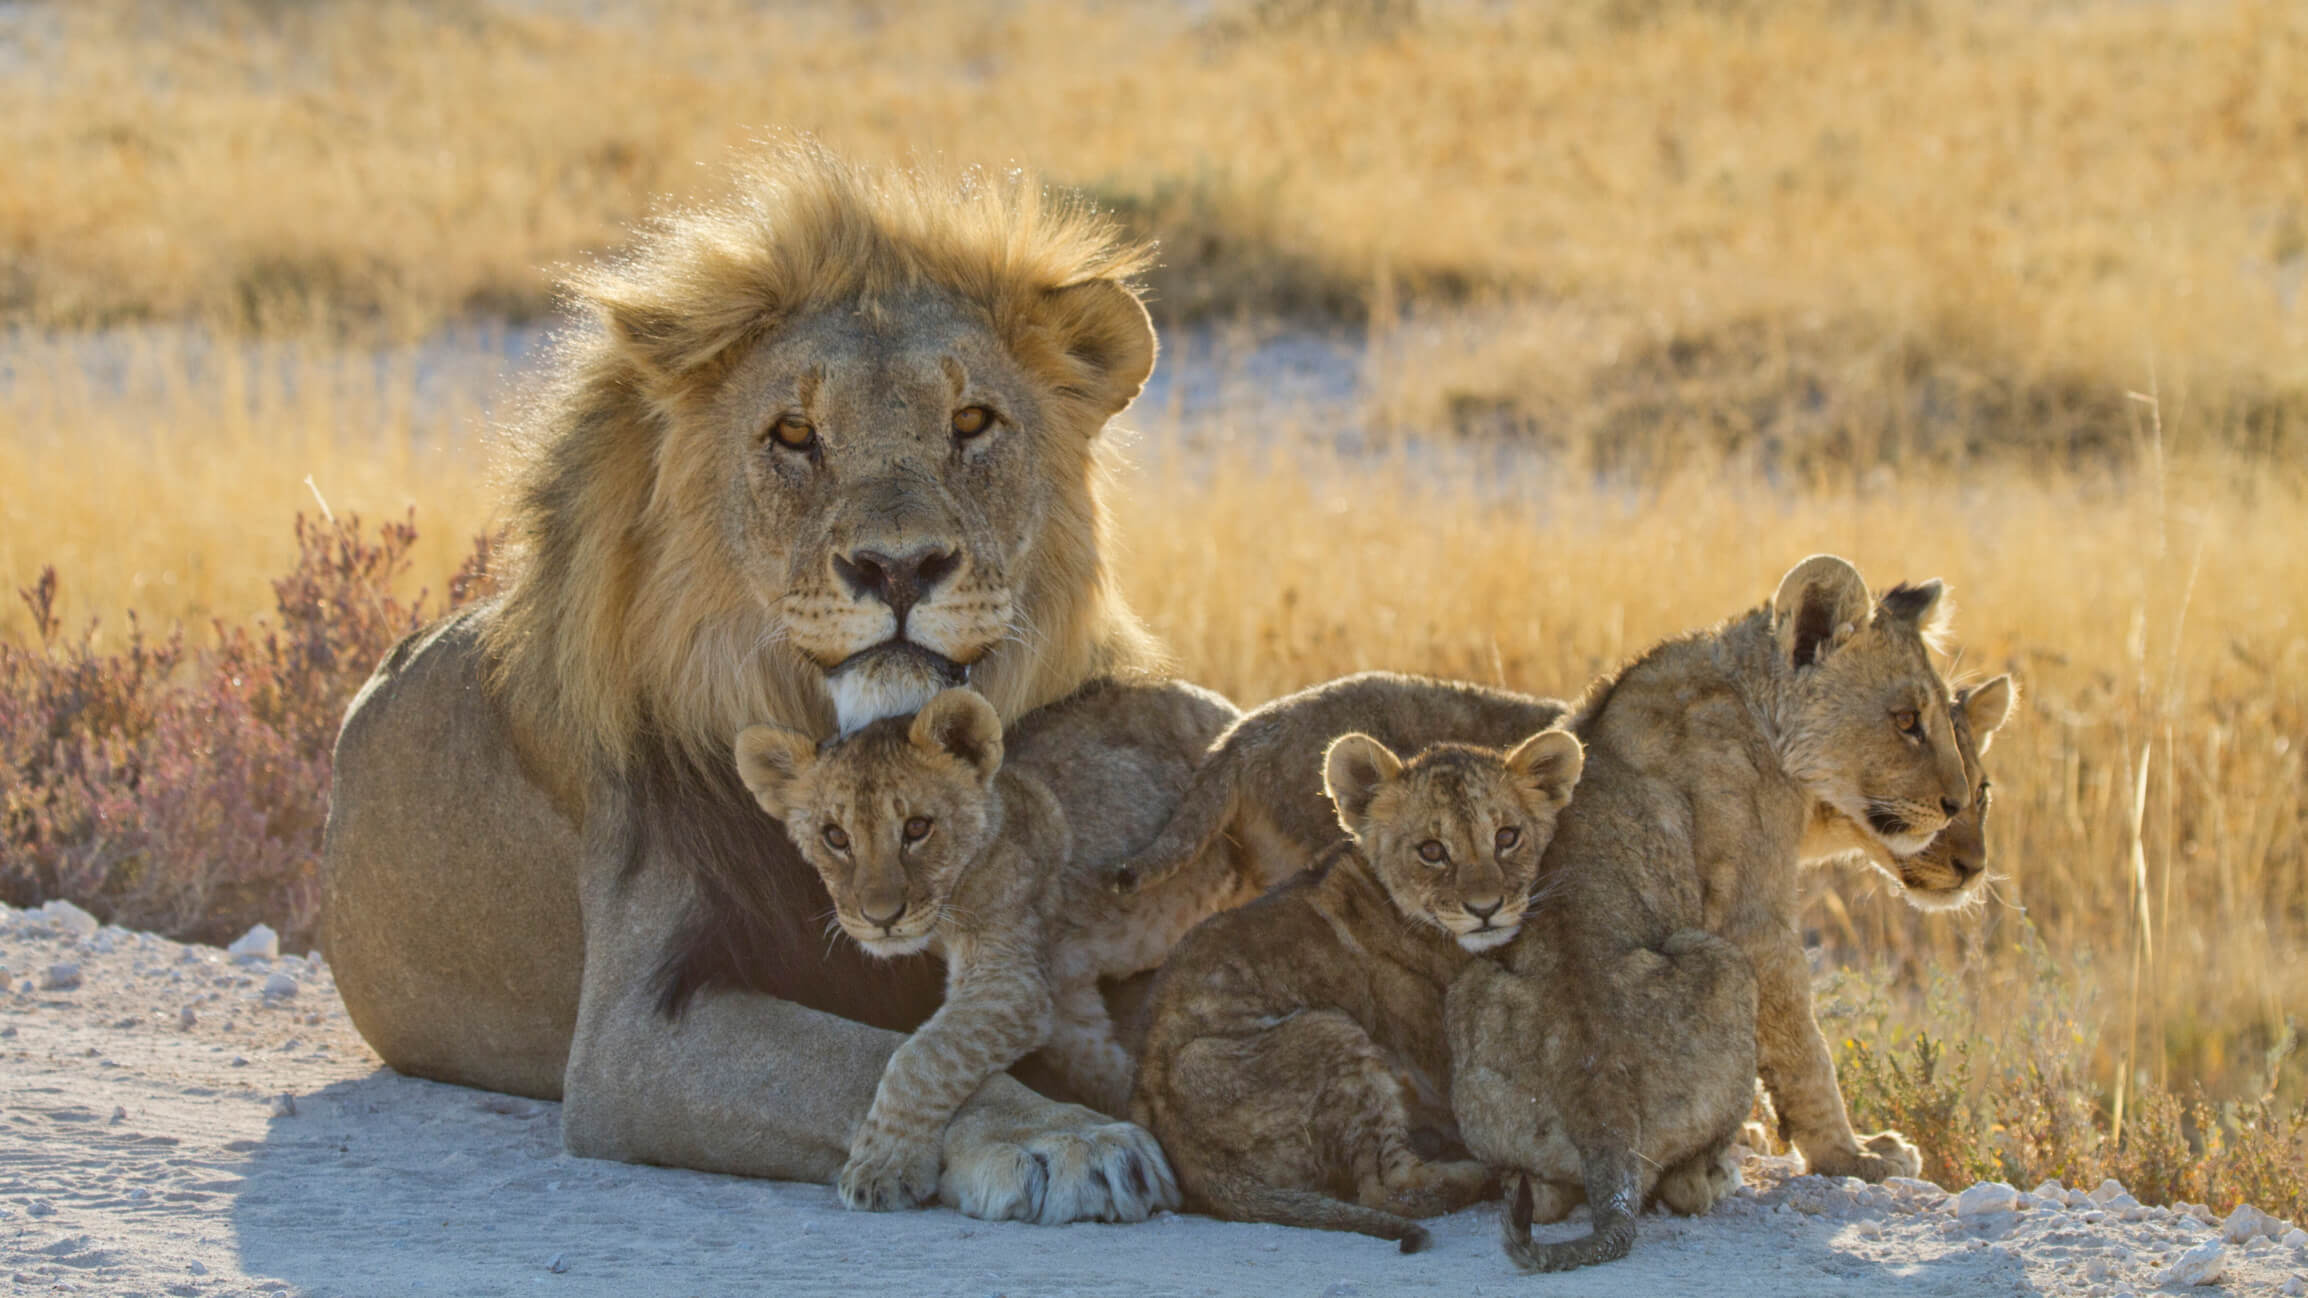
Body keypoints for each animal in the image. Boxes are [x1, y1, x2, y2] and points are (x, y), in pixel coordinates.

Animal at [318, 145, 1191, 1224]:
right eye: (793, 434)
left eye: (972, 421)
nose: (898, 568)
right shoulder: (630, 1037)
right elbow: (870, 1058)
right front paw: (1064, 1138)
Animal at [732, 680, 1245, 1211]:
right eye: (835, 837)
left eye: (917, 828)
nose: (881, 918)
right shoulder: (1060, 996)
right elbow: (1098, 1061)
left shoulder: (1012, 982)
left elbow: (921, 1056)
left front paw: (884, 1166)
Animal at [1132, 726, 1585, 1252]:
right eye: (1432, 850)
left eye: (1507, 837)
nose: (1485, 909)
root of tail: (1189, 1162)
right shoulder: (1446, 1065)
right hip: (1329, 1031)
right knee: (1386, 1189)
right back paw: (1480, 1176)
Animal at [1444, 554, 1982, 1271]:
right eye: (1905, 721)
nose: (1955, 804)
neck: (1752, 701)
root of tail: (1603, 1116)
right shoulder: (1753, 918)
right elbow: (1805, 1051)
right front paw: (1857, 1157)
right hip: (1719, 962)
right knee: (1676, 1187)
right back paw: (1723, 1166)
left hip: (1473, 990)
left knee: (1545, 1194)